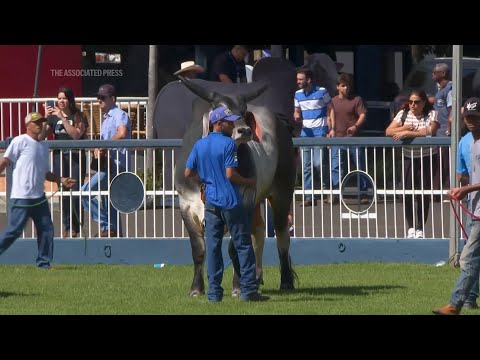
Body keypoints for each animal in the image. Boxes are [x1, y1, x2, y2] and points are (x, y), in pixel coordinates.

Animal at [154, 57, 298, 296]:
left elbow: (235, 248)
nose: (245, 131)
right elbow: (199, 249)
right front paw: (197, 289)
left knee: (281, 235)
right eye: (222, 110)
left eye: (244, 110)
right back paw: (256, 277)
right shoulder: (186, 205)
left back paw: (285, 281)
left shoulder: (243, 200)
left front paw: (238, 287)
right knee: (258, 233)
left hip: (282, 191)